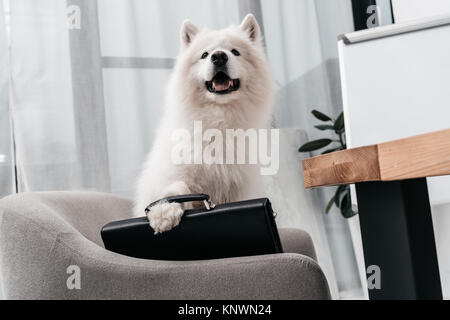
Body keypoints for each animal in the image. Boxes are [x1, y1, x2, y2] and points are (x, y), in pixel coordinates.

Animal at [134, 14, 274, 232]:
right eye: (205, 54)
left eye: (235, 52)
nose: (219, 56)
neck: (217, 122)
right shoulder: (171, 172)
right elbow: (176, 187)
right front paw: (164, 213)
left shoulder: (238, 189)